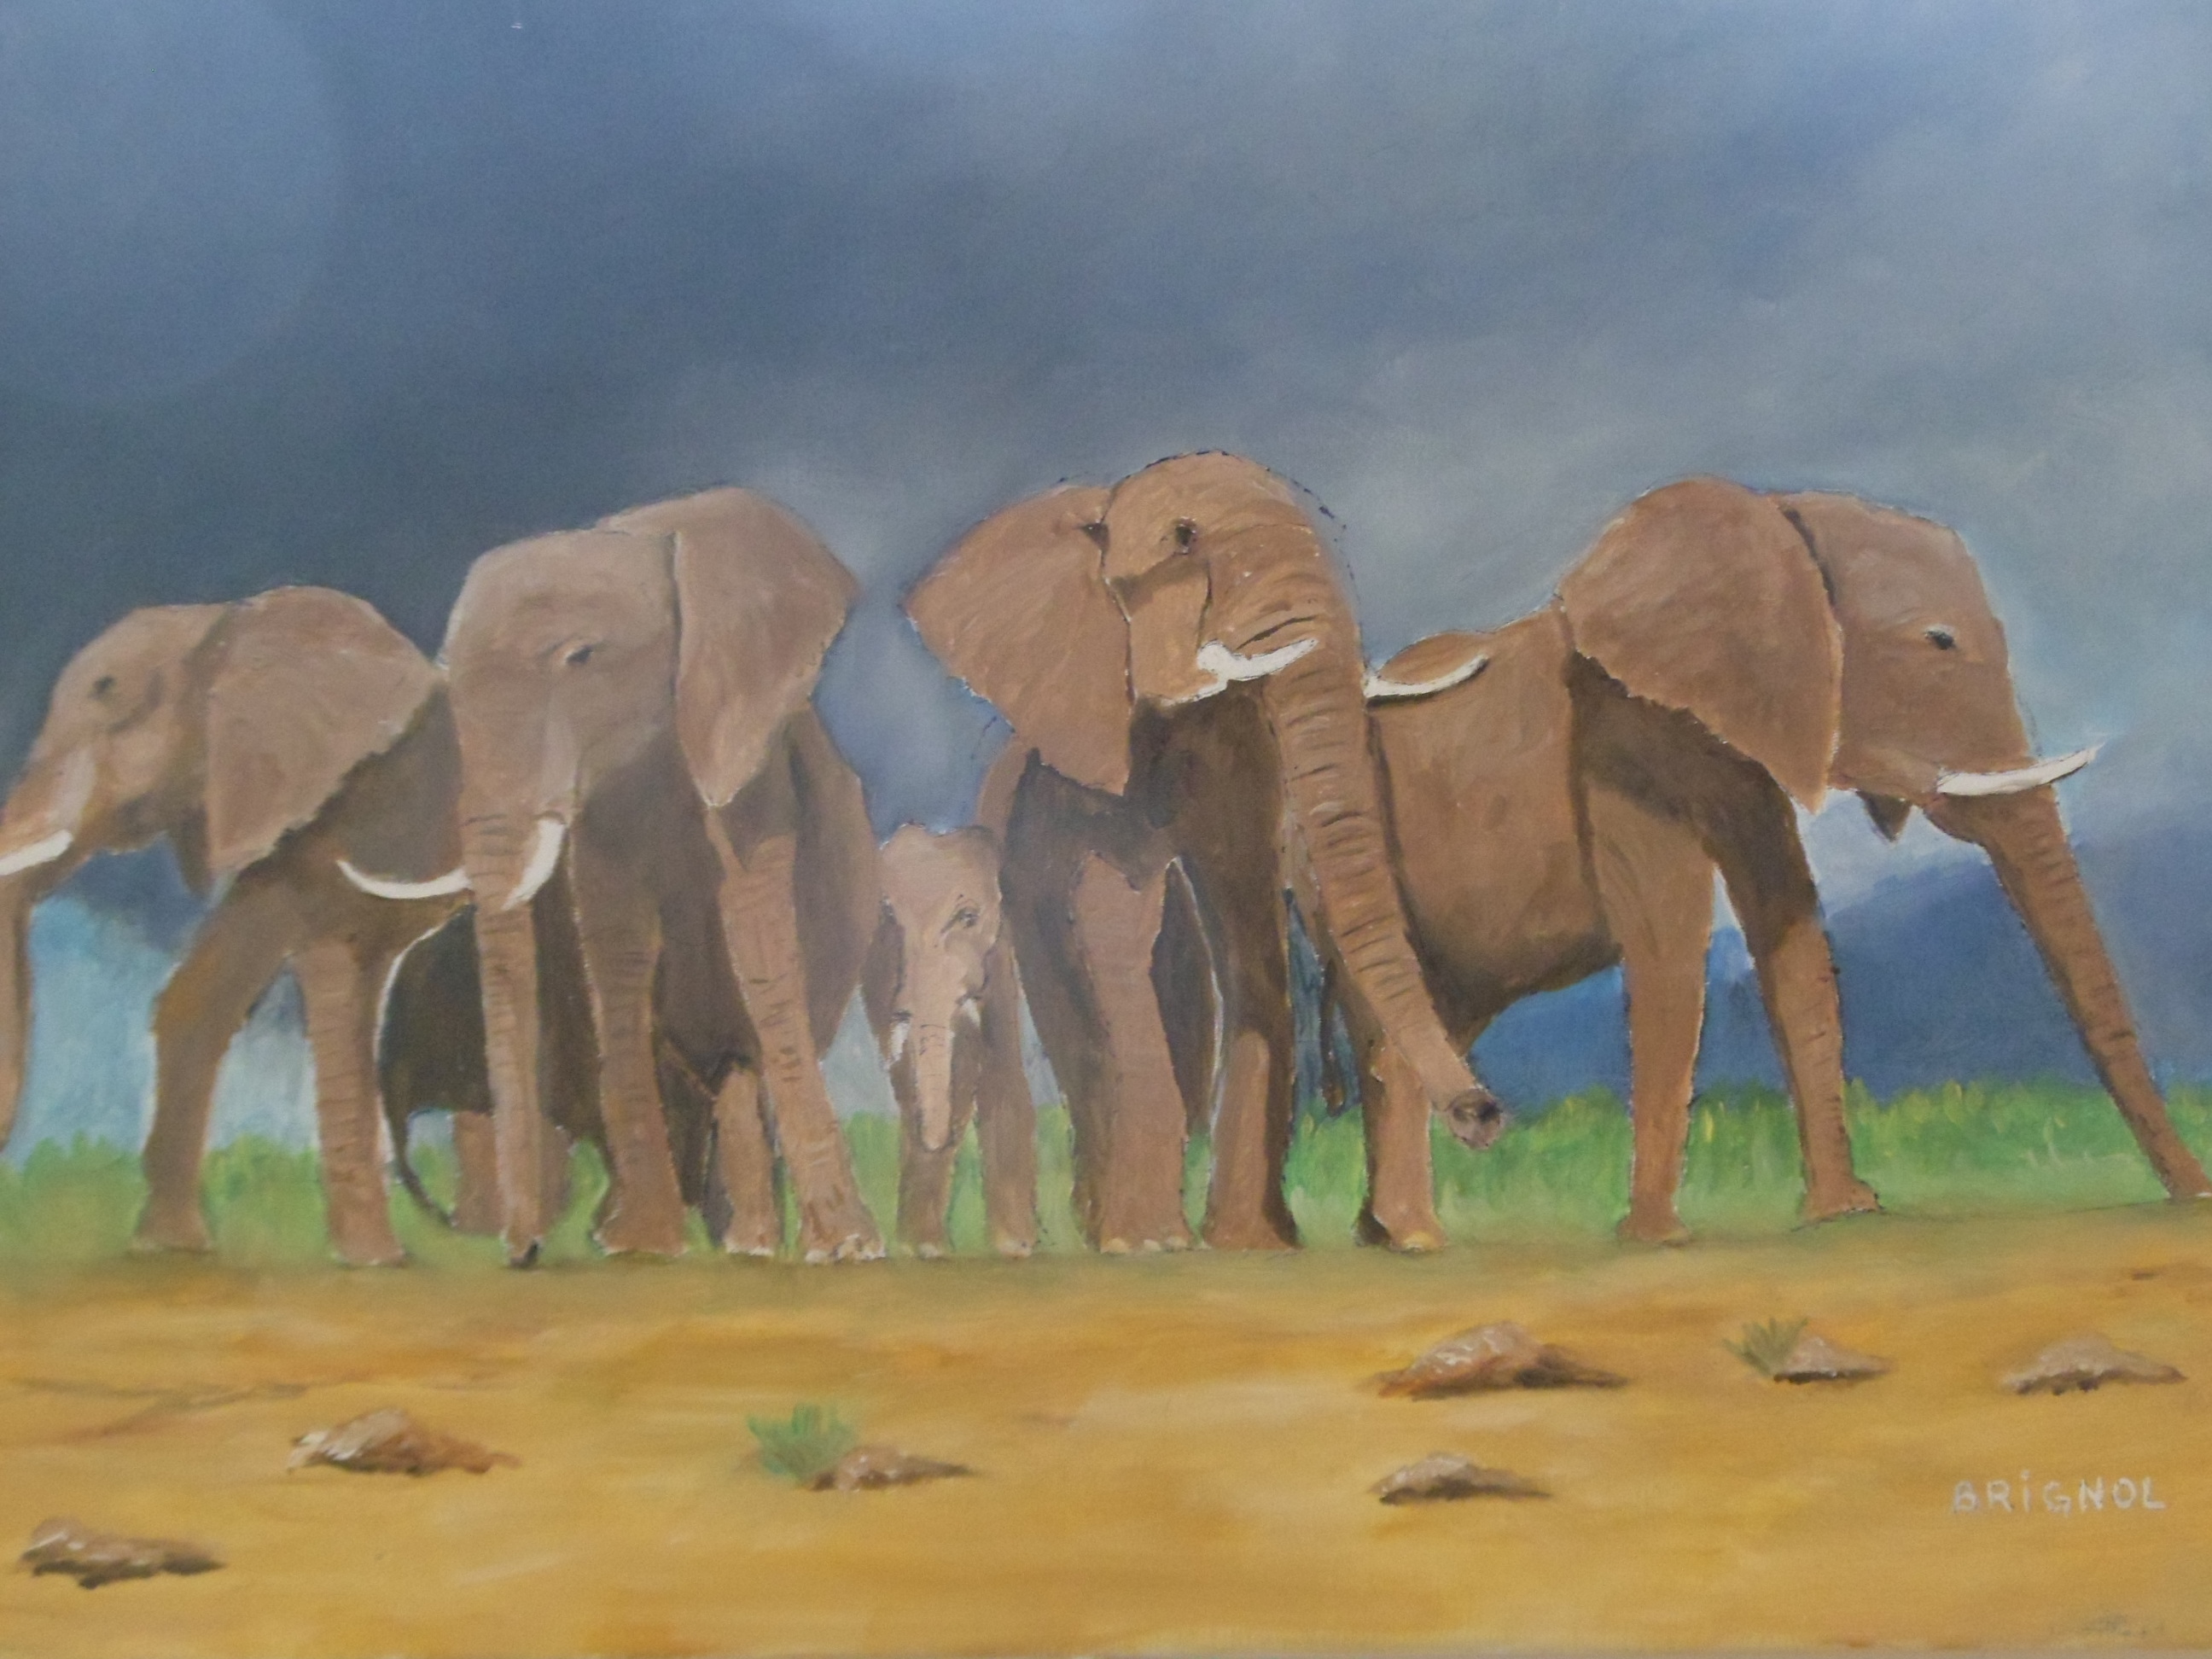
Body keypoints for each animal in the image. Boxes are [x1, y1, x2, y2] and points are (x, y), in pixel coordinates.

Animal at [0, 588, 466, 1264]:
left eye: (108, 693)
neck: (228, 619)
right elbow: (205, 993)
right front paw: (170, 1250)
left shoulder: (359, 812)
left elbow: (336, 969)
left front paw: (374, 1262)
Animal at [441, 486, 883, 1266]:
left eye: (580, 657)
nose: (524, 1253)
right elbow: (617, 952)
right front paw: (639, 1246)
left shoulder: (751, 763)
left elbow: (760, 945)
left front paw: (850, 1250)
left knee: (739, 1059)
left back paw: (749, 1243)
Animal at [859, 824, 1038, 1257]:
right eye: (888, 916)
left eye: (967, 917)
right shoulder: (880, 959)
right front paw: (924, 1249)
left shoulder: (998, 948)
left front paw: (1016, 1246)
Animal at [907, 451, 1502, 1255]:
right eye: (1184, 539)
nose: (1483, 1114)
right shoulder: (1102, 737)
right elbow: (1115, 922)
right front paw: (1151, 1244)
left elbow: (1246, 916)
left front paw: (1253, 1244)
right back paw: (1107, 1232)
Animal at [1315, 475, 2211, 1244]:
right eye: (1938, 641)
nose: (2194, 1195)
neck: (1768, 518)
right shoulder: (1618, 738)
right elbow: (1669, 944)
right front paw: (1656, 1239)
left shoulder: (1753, 738)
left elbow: (1793, 935)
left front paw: (1845, 1213)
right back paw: (1412, 1237)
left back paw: (1387, 1234)